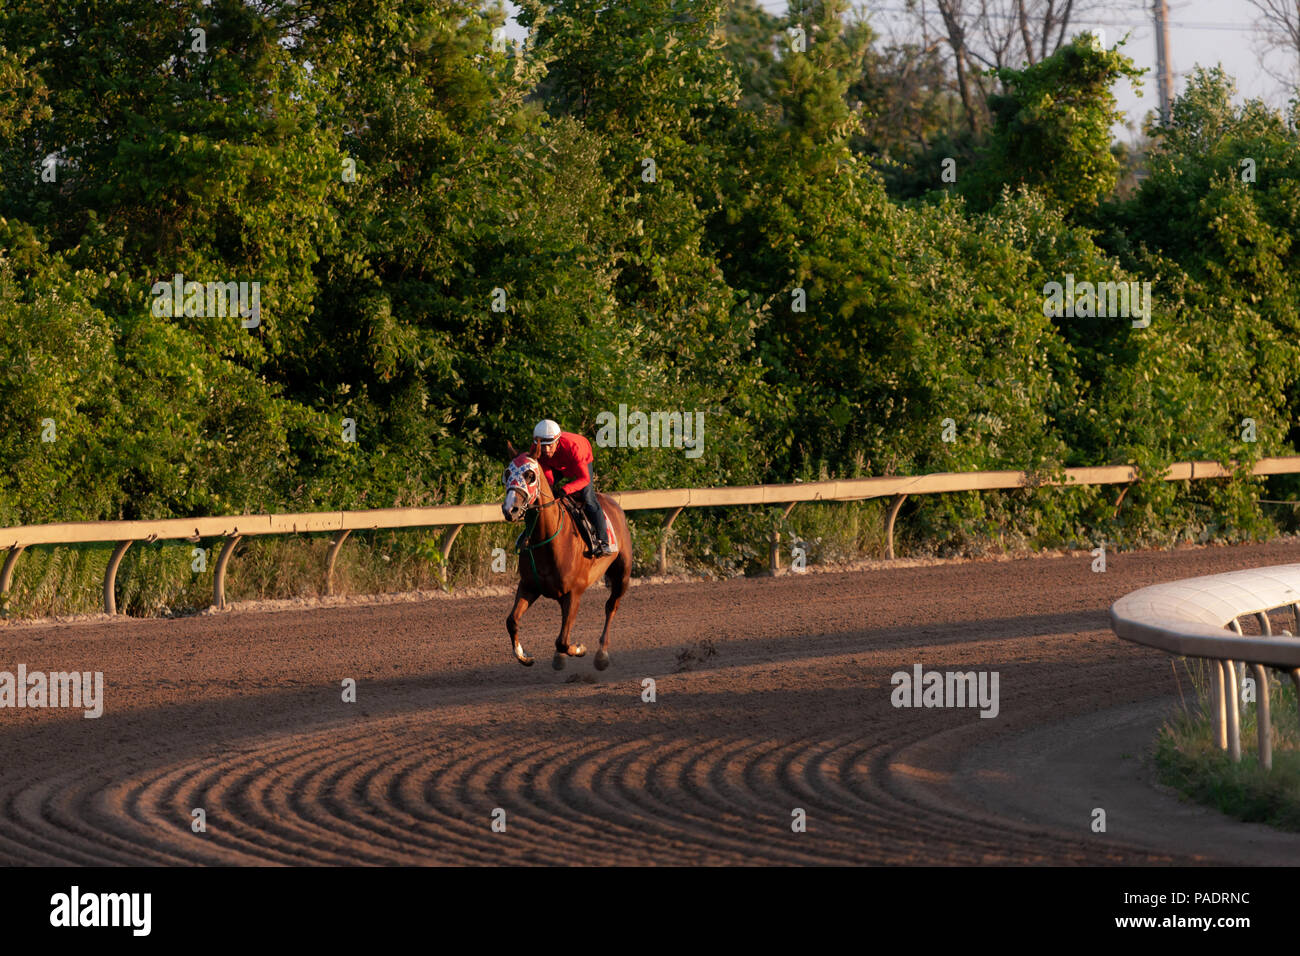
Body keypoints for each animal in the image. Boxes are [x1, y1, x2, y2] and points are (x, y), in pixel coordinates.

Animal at [499, 444, 631, 671]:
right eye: (507, 473)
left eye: (530, 475)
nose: (510, 509)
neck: (548, 540)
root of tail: (614, 503)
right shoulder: (528, 586)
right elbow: (512, 621)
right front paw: (524, 656)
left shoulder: (574, 592)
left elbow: (562, 641)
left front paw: (579, 648)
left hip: (622, 574)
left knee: (611, 606)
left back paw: (601, 655)